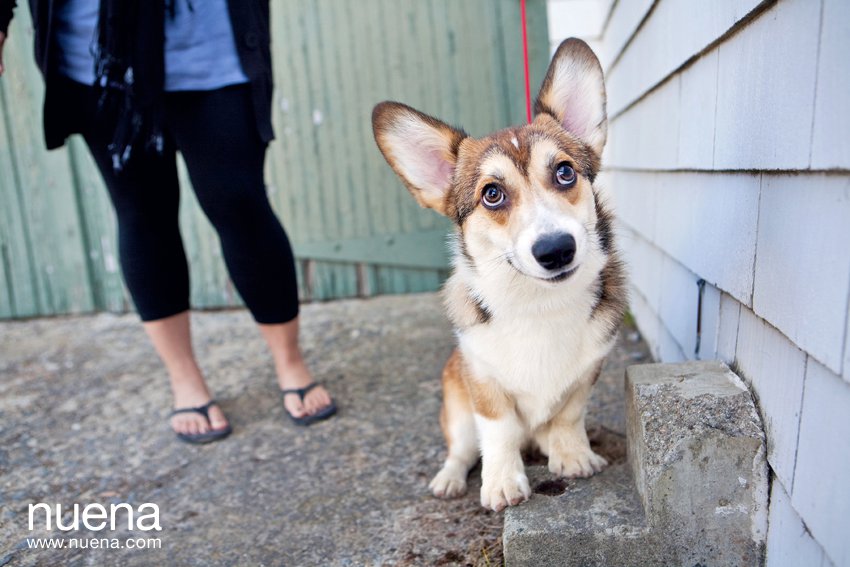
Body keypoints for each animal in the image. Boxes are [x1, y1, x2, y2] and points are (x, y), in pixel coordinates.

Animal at [370, 37, 624, 512]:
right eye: (492, 194)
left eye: (565, 172)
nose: (556, 250)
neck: (540, 304)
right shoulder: (484, 384)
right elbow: (500, 432)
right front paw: (503, 484)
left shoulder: (586, 374)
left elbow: (568, 415)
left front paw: (573, 456)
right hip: (456, 410)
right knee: (462, 450)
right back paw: (450, 479)